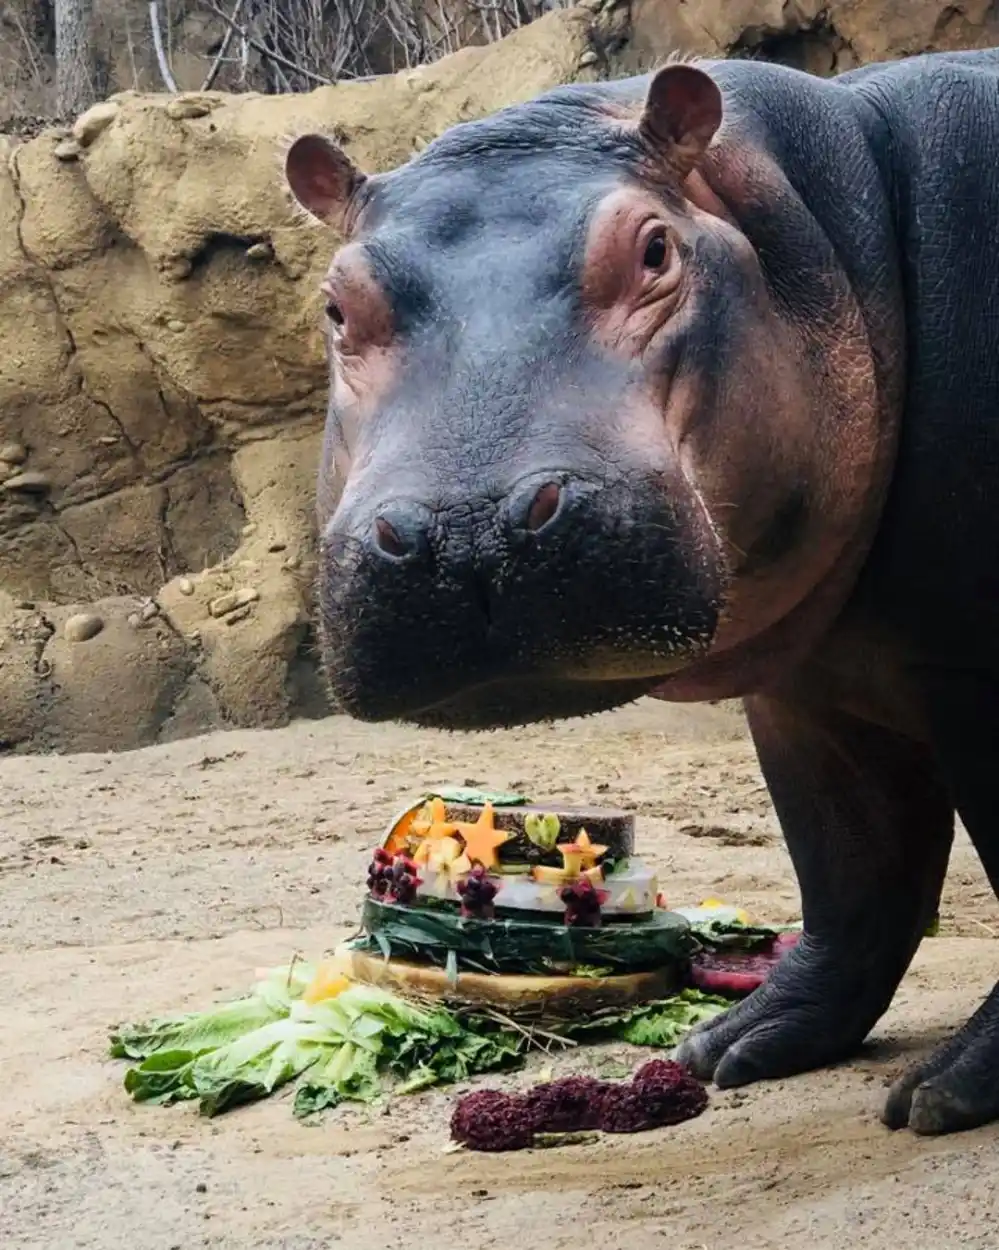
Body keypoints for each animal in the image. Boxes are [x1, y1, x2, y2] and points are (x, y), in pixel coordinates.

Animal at [284, 47, 999, 1136]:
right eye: (336, 304)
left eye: (656, 250)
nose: (468, 529)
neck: (836, 225)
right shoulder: (808, 686)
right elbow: (850, 867)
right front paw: (732, 1048)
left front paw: (945, 1093)